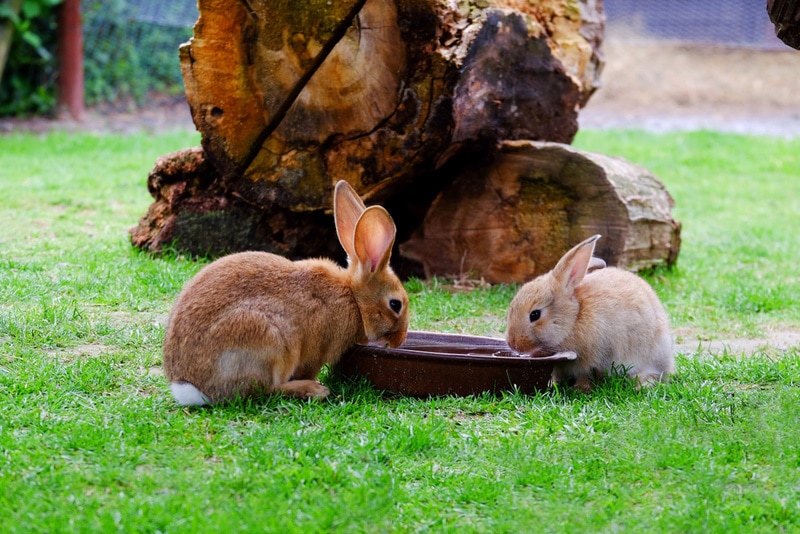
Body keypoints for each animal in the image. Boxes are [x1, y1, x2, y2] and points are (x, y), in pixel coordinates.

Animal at [165, 181, 410, 406]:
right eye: (395, 304)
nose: (399, 341)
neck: (353, 298)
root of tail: (190, 386)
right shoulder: (317, 351)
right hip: (269, 342)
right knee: (265, 390)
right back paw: (313, 390)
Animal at [510, 236, 672, 394]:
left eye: (535, 314)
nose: (513, 344)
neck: (574, 318)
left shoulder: (593, 358)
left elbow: (586, 374)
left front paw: (580, 389)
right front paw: (554, 384)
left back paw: (641, 385)